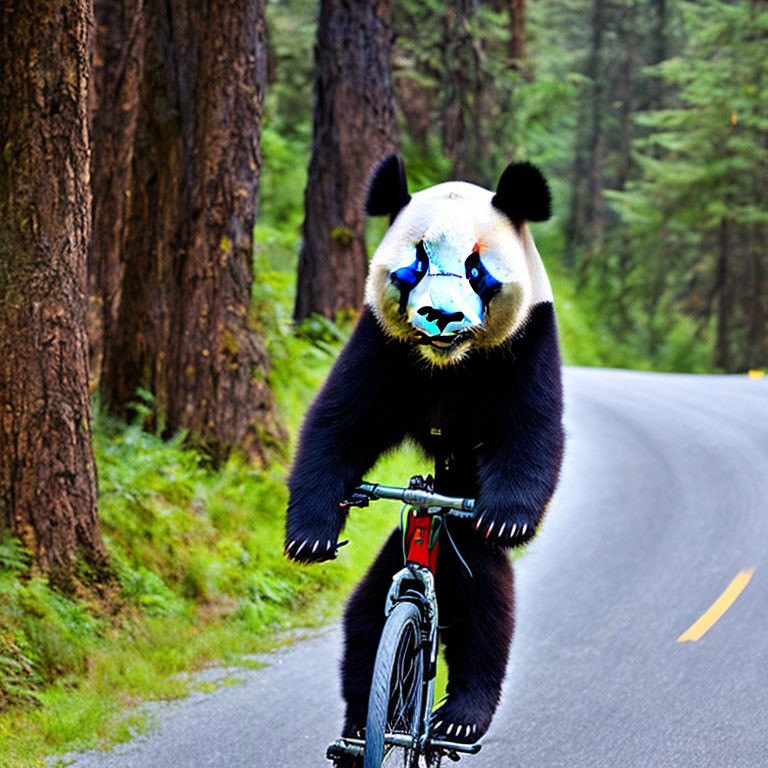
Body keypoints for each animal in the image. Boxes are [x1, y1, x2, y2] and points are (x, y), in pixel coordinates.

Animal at [284, 154, 560, 752]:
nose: (440, 317)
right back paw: (360, 725)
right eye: (417, 263)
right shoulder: (380, 342)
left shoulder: (527, 339)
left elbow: (530, 430)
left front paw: (509, 519)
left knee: (485, 603)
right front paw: (309, 535)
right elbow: (337, 426)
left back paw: (461, 716)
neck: (447, 363)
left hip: (466, 533)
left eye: (476, 270)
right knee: (366, 618)